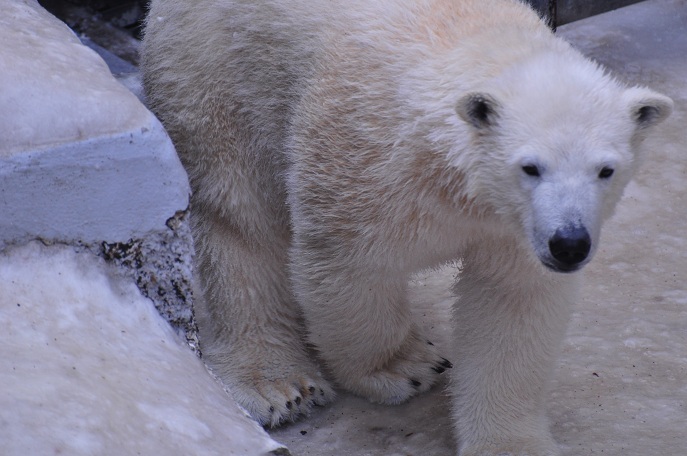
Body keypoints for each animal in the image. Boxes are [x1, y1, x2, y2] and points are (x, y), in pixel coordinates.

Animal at [141, 0, 672, 452]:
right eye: (530, 167)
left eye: (606, 169)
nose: (569, 244)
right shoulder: (366, 156)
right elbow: (349, 263)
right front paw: (403, 367)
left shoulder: (515, 228)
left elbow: (512, 305)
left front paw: (510, 443)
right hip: (216, 68)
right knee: (241, 212)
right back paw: (279, 385)